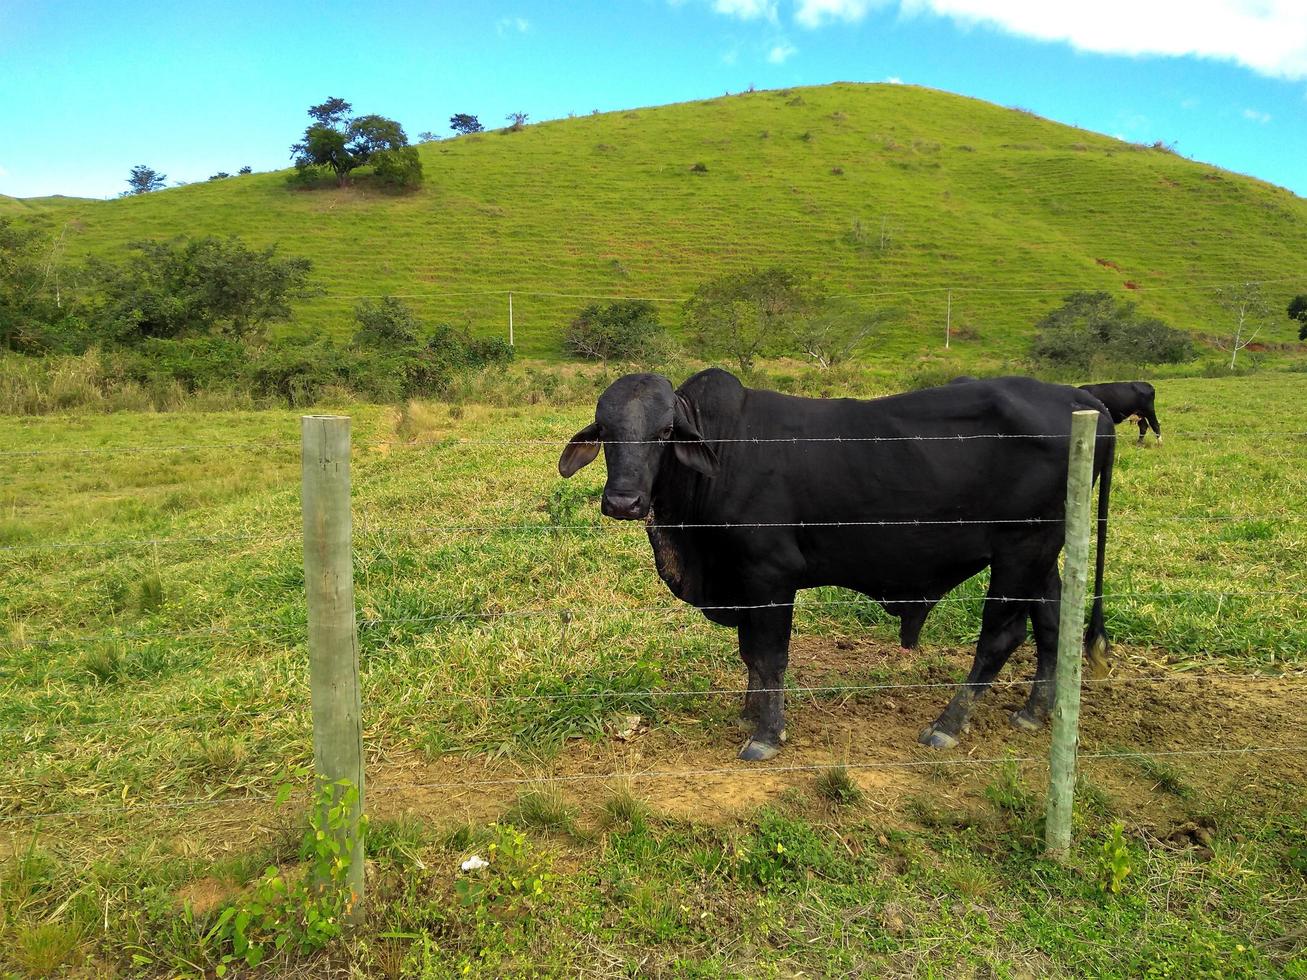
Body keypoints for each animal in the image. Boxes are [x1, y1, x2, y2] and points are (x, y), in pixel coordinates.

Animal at [554, 371, 1113, 763]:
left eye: (666, 430)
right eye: (606, 431)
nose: (623, 501)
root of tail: (1084, 402)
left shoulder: (770, 574)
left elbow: (769, 656)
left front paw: (766, 733)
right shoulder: (744, 581)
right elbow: (750, 655)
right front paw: (749, 714)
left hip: (1023, 548)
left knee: (1001, 636)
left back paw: (948, 725)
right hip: (1041, 554)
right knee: (1051, 624)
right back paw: (1034, 712)